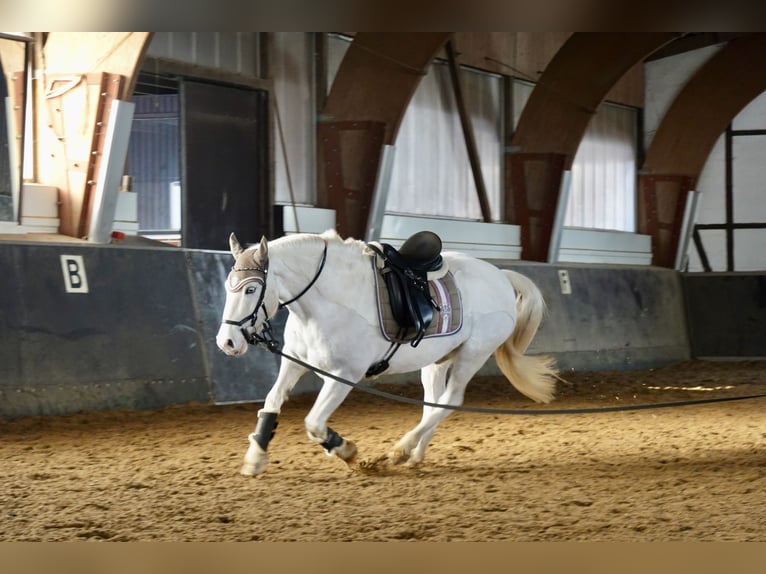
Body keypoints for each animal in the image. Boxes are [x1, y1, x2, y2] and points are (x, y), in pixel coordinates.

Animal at [216, 230, 560, 476]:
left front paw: (346, 450)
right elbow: (272, 402)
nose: (227, 342)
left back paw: (400, 450)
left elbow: (314, 423)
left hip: (472, 355)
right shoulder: (296, 362)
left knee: (451, 400)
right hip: (437, 362)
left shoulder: (343, 375)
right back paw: (414, 454)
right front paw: (256, 457)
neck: (328, 300)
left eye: (250, 288)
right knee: (434, 404)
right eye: (227, 286)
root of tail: (501, 275)